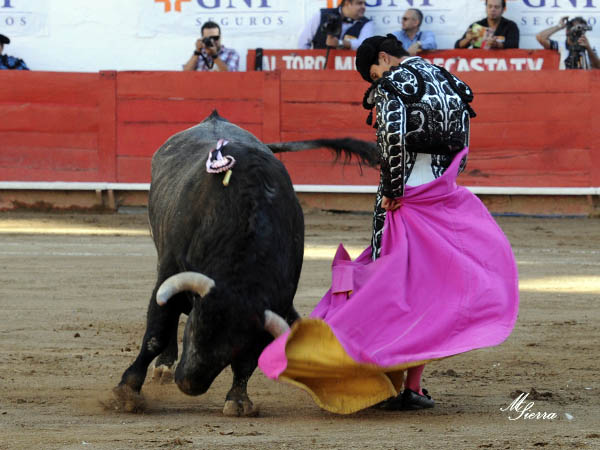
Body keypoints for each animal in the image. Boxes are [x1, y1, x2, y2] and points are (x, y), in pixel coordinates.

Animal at [112, 111, 379, 416]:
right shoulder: (170, 272)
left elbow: (249, 362)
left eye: (235, 348)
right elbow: (155, 333)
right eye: (193, 329)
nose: (189, 385)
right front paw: (127, 391)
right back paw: (164, 367)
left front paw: (238, 400)